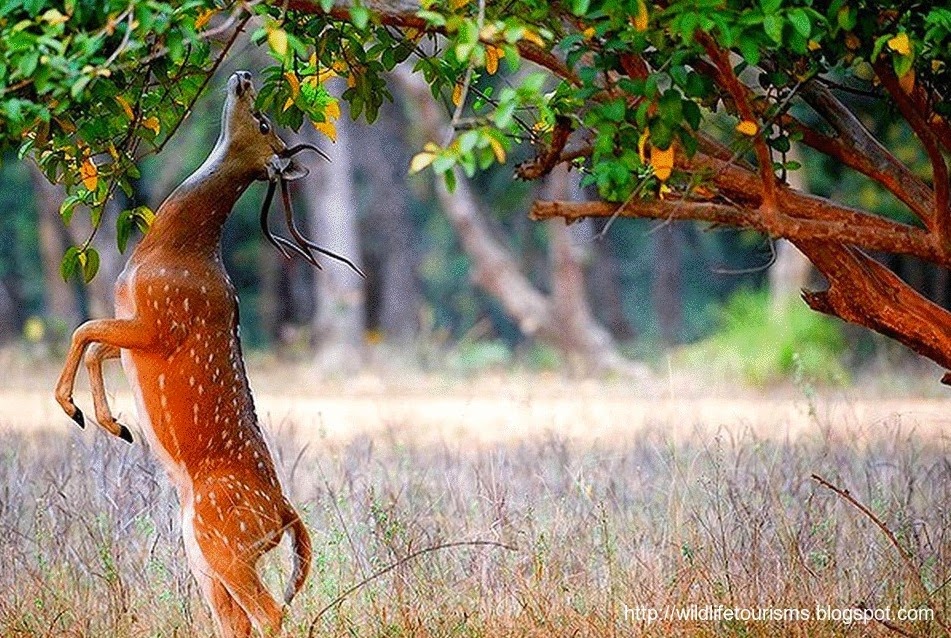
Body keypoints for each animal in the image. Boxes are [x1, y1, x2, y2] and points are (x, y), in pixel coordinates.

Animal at [55, 71, 320, 638]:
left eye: (263, 121)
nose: (243, 77)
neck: (168, 252)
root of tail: (284, 515)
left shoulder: (162, 321)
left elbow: (84, 330)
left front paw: (76, 410)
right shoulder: (135, 326)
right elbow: (96, 344)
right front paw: (112, 422)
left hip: (226, 540)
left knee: (271, 612)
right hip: (203, 554)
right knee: (241, 620)